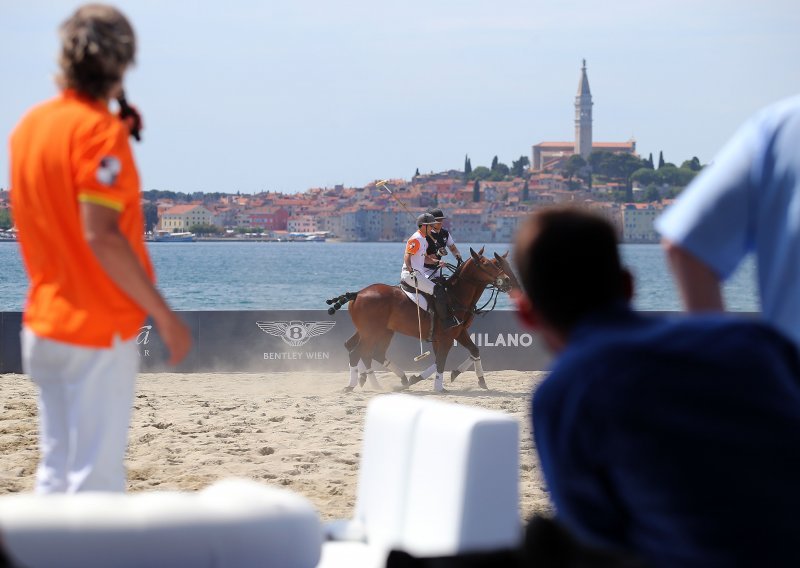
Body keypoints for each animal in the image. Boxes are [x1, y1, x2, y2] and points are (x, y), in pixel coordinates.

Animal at [324, 246, 512, 392]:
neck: (455, 296)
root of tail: (357, 294)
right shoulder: (447, 337)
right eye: (486, 264)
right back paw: (352, 385)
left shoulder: (458, 332)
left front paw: (480, 381)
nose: (507, 281)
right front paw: (438, 386)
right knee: (358, 352)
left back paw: (392, 380)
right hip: (372, 332)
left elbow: (473, 350)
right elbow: (441, 360)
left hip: (381, 331)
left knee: (368, 351)